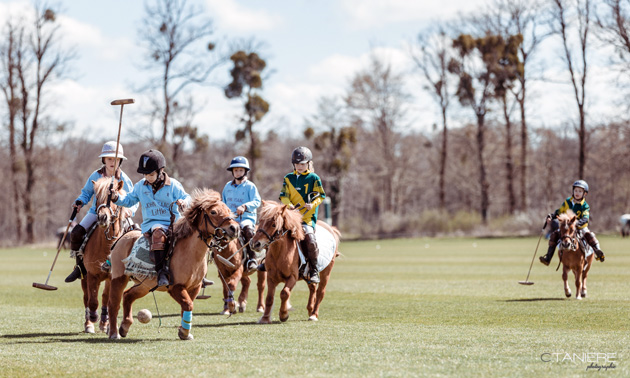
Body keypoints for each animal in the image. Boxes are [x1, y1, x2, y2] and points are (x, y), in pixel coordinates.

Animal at [79, 176, 126, 332]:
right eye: (97, 197)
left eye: (114, 198)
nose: (103, 218)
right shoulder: (91, 274)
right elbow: (92, 300)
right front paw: (92, 317)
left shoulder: (112, 276)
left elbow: (107, 298)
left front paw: (106, 323)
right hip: (84, 275)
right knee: (86, 297)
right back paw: (89, 323)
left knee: (104, 296)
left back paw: (104, 323)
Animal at [108, 186, 239, 340]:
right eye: (213, 212)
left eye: (228, 210)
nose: (234, 228)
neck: (190, 252)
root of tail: (123, 237)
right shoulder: (176, 287)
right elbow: (188, 305)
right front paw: (184, 332)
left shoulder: (194, 287)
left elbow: (186, 307)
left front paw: (184, 332)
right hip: (119, 278)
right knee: (113, 303)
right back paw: (113, 333)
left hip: (145, 284)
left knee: (128, 295)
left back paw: (125, 326)